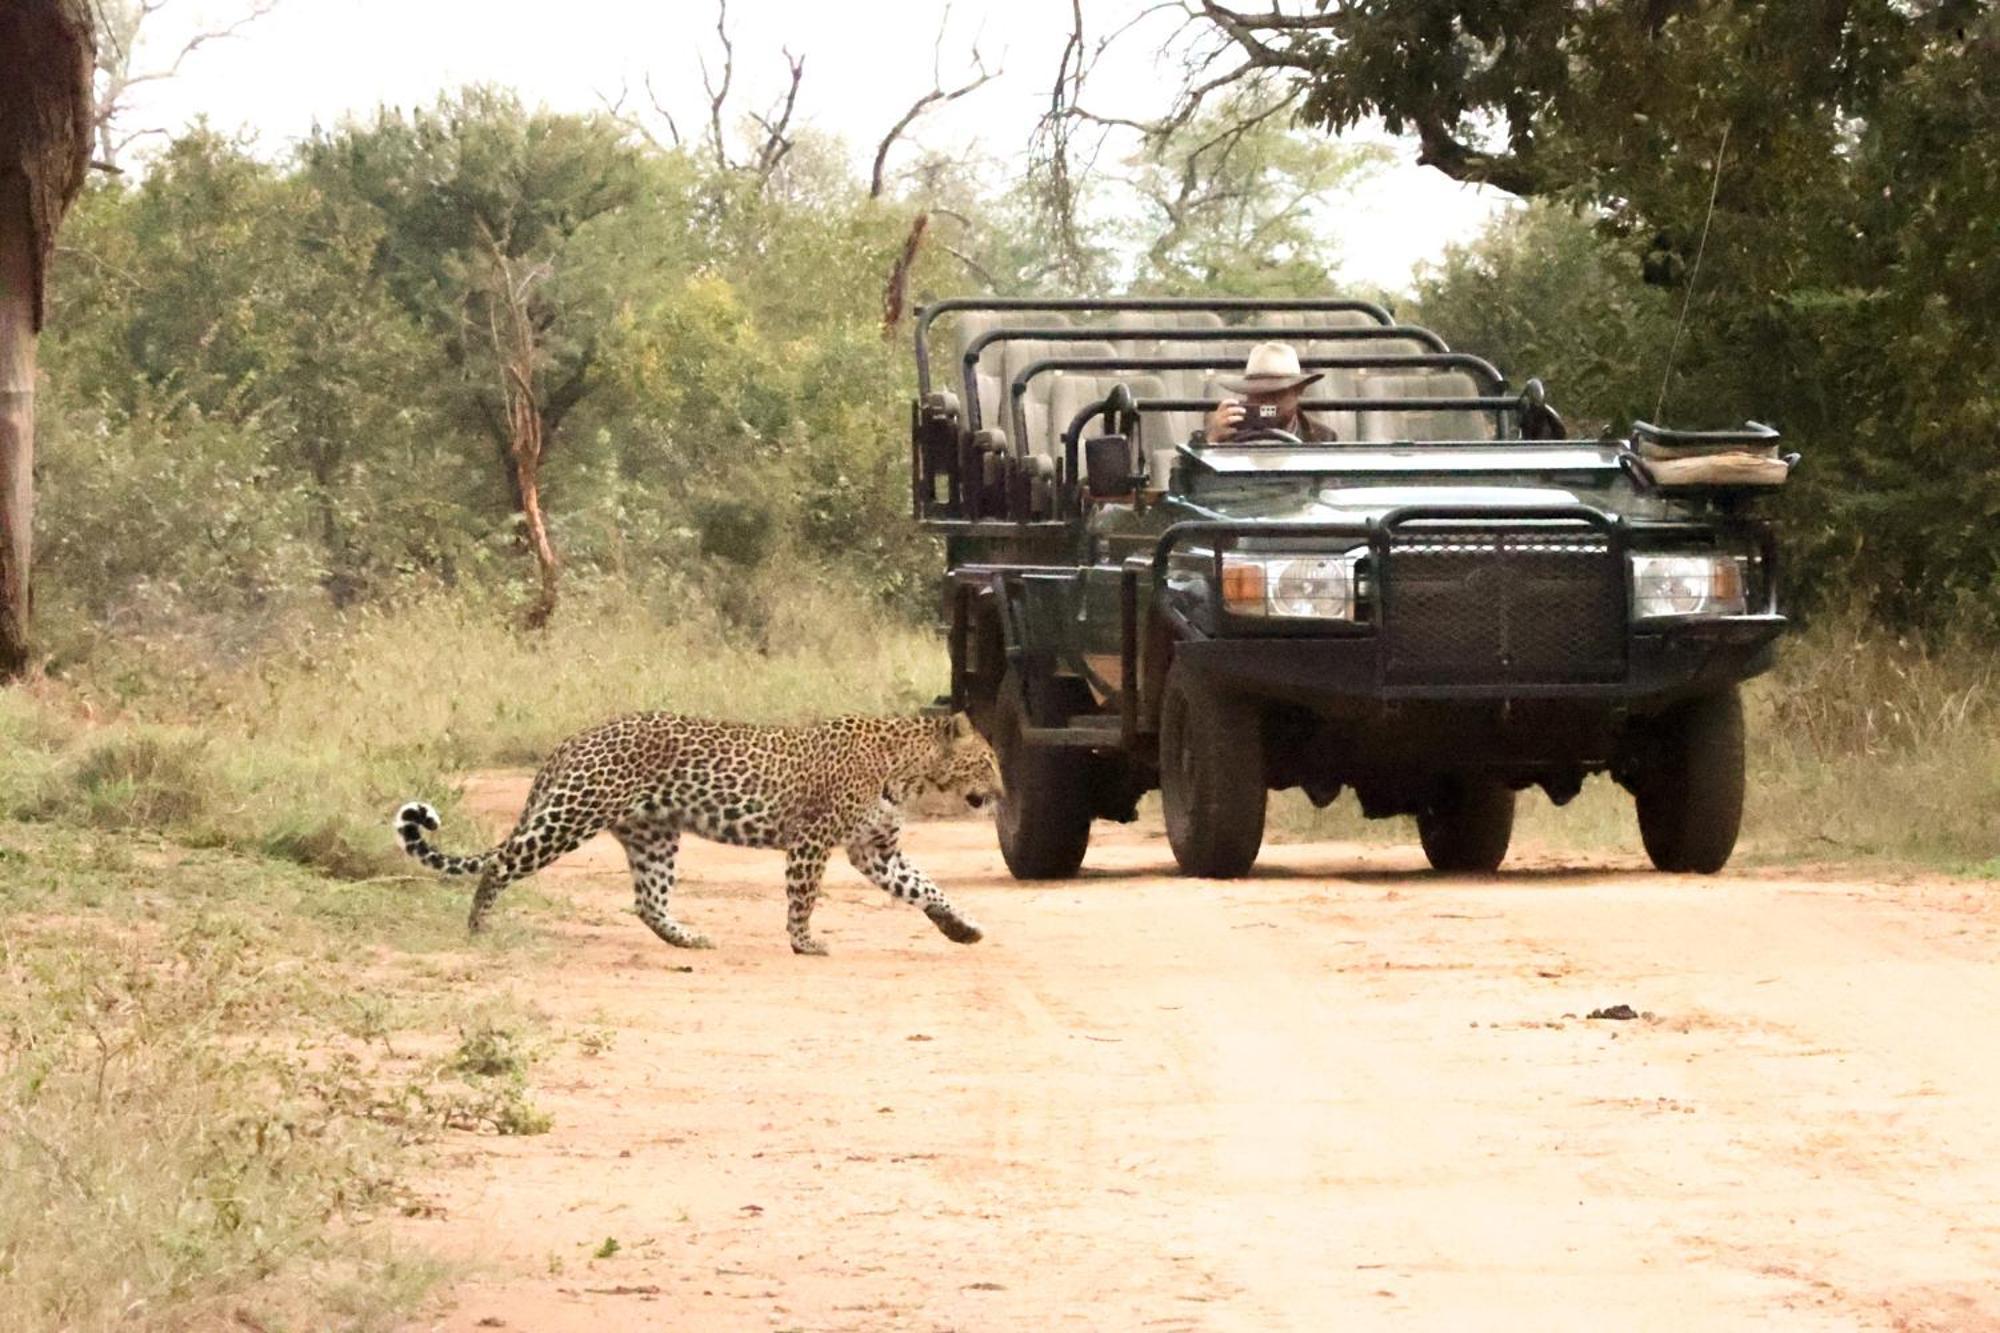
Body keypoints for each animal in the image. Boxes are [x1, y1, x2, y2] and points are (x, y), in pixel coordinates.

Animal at [394, 712, 1000, 948]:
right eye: (988, 761)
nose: (1001, 794)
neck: (911, 771)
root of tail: (574, 739)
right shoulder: (812, 839)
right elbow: (803, 896)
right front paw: (804, 943)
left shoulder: (875, 850)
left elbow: (925, 886)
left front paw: (961, 927)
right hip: (572, 815)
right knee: (500, 863)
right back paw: (478, 927)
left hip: (653, 836)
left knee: (649, 902)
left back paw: (689, 938)